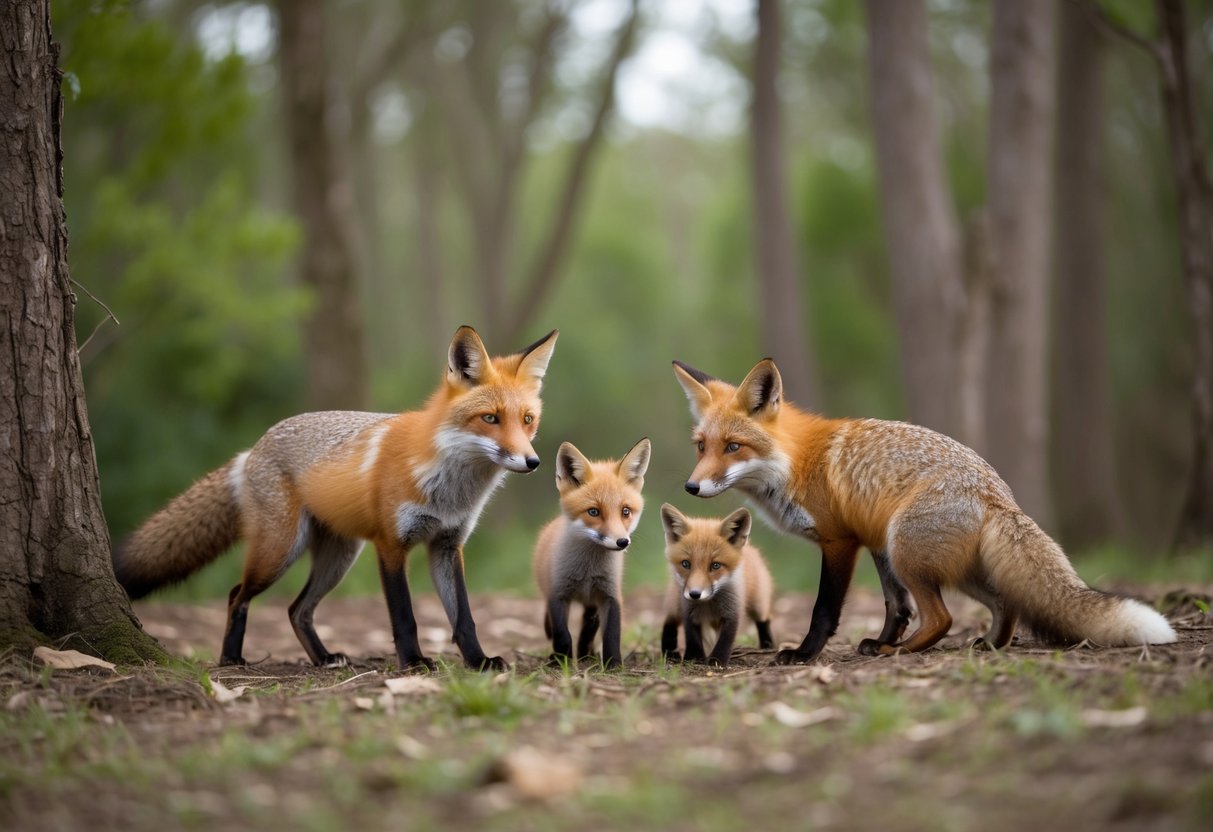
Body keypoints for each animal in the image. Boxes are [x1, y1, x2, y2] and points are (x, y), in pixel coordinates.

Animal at [113, 326, 558, 672]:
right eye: (490, 419)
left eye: (527, 420)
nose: (533, 461)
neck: (450, 489)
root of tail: (253, 449)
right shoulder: (390, 545)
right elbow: (405, 616)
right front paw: (414, 663)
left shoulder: (447, 546)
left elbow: (464, 616)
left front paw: (479, 661)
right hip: (280, 551)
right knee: (236, 594)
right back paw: (231, 659)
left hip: (338, 558)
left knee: (297, 609)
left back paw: (324, 659)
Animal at [532, 438, 651, 668]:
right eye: (593, 512)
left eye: (625, 511)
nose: (622, 542)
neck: (587, 570)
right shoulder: (557, 594)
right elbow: (562, 635)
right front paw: (562, 661)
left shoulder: (610, 594)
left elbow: (611, 635)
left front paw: (614, 665)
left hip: (592, 605)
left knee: (588, 629)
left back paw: (586, 655)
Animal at [659, 504, 775, 667]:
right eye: (686, 564)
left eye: (715, 565)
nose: (695, 594)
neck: (709, 604)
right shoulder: (688, 610)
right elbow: (692, 637)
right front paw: (694, 657)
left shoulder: (732, 611)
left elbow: (725, 640)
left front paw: (716, 660)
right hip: (675, 603)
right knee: (670, 621)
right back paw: (669, 653)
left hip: (758, 602)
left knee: (764, 620)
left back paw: (768, 646)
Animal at [671, 357, 1177, 665]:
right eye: (700, 447)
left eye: (733, 447)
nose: (691, 486)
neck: (796, 462)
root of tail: (999, 494)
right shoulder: (874, 543)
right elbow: (896, 606)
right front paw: (882, 637)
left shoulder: (841, 542)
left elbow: (825, 609)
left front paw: (805, 654)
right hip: (937, 563)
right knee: (1003, 602)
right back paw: (987, 644)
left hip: (909, 552)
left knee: (942, 618)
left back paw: (903, 653)